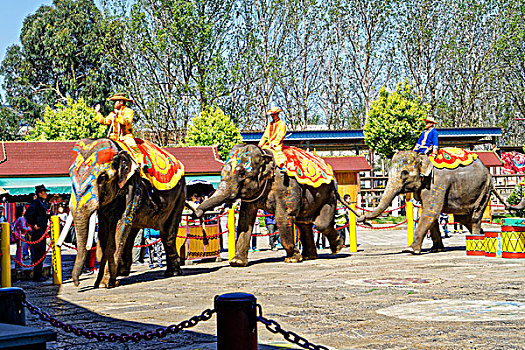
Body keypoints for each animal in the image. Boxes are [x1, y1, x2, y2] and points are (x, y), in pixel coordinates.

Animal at [68, 137, 185, 288]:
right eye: (69, 174)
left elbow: (120, 226)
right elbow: (105, 230)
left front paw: (104, 284)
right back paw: (123, 272)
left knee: (167, 234)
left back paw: (173, 273)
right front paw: (100, 283)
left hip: (180, 196)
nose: (77, 284)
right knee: (132, 230)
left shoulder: (133, 187)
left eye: (102, 178)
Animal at [194, 144, 358, 266]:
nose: (196, 213)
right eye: (221, 173)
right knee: (304, 223)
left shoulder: (286, 185)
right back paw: (310, 257)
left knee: (320, 223)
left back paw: (337, 248)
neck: (265, 153)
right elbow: (245, 220)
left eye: (241, 173)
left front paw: (292, 259)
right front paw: (237, 263)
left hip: (329, 194)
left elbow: (282, 217)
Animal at [358, 150, 506, 254]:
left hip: (484, 189)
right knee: (463, 218)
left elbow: (431, 211)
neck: (421, 156)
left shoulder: (437, 182)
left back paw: (478, 242)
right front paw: (436, 250)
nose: (362, 219)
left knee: (474, 216)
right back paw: (482, 236)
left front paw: (410, 250)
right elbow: (430, 214)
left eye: (405, 173)